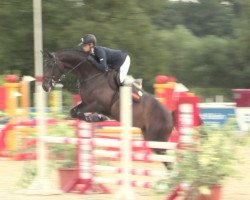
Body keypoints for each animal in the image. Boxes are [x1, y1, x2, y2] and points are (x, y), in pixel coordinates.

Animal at [42, 49, 174, 168]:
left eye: (50, 65)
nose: (45, 87)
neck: (91, 75)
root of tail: (170, 115)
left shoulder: (97, 104)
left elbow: (78, 112)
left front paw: (98, 118)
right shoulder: (86, 103)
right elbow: (74, 112)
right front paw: (96, 118)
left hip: (158, 140)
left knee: (168, 161)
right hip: (149, 138)